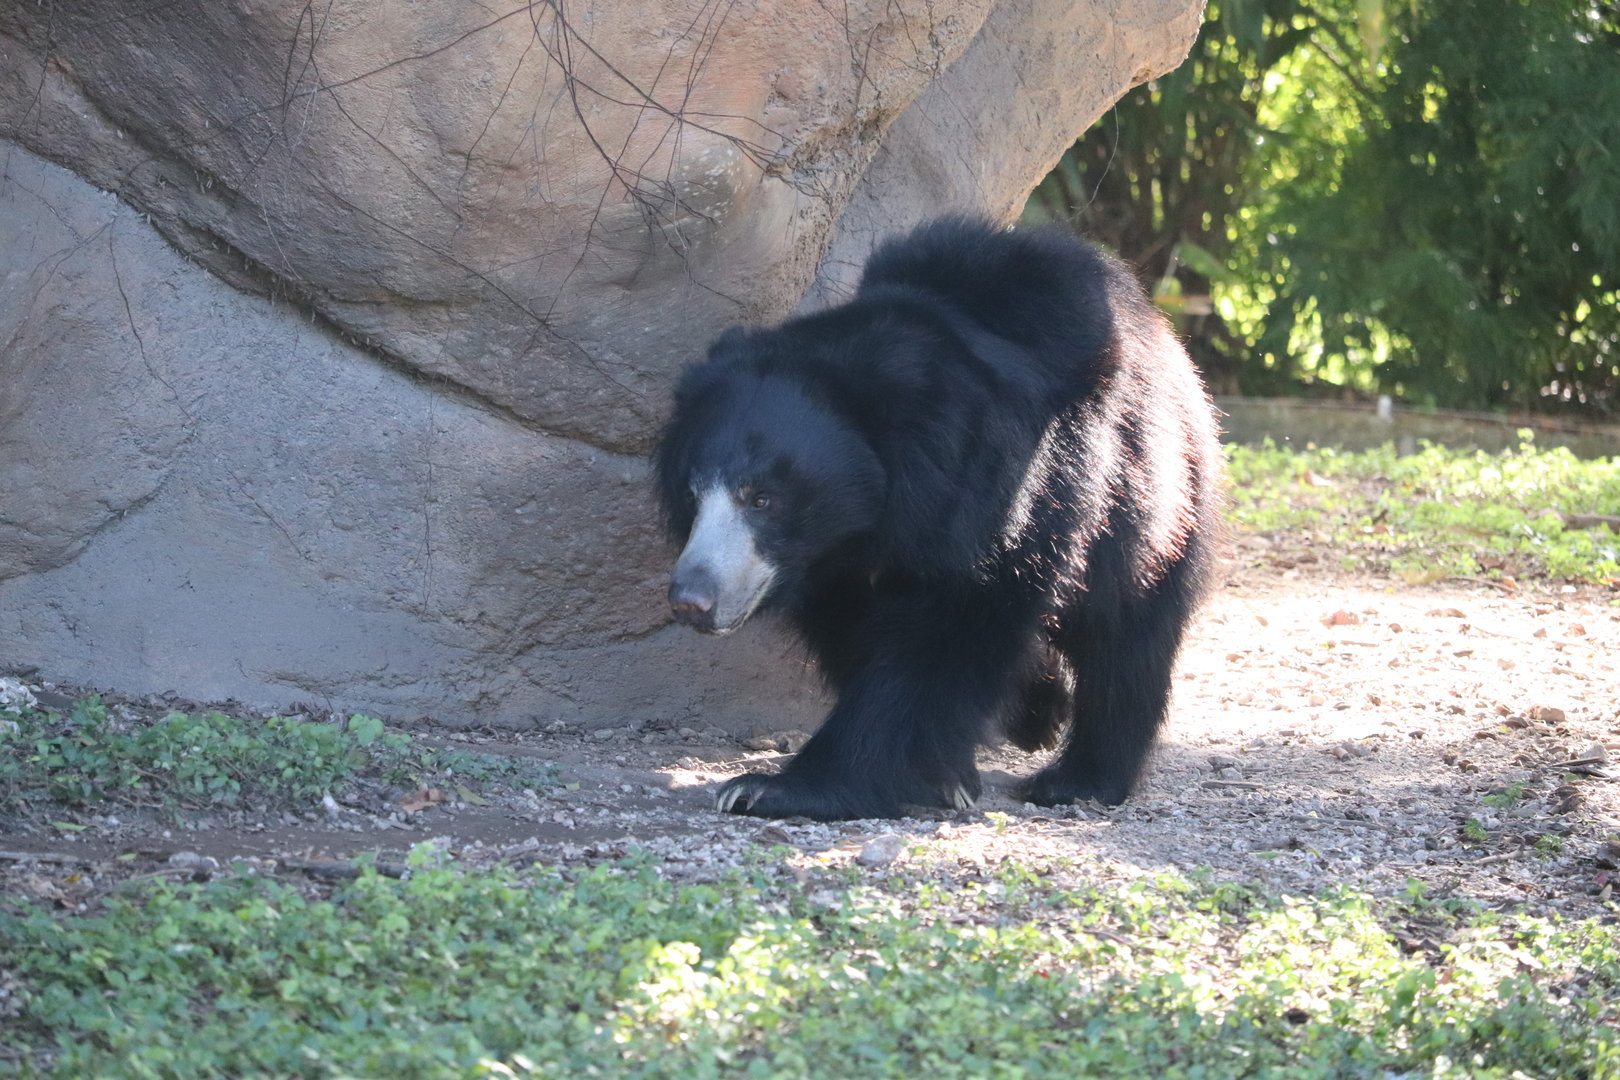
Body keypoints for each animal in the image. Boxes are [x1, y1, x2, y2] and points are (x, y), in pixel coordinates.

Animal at [653, 217, 1224, 821]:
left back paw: (1079, 780)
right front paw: (951, 773)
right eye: (692, 494)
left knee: (1128, 638)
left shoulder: (1005, 495)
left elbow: (944, 636)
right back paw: (1038, 714)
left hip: (1153, 502)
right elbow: (856, 635)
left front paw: (769, 787)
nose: (692, 599)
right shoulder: (832, 566)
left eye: (761, 498)